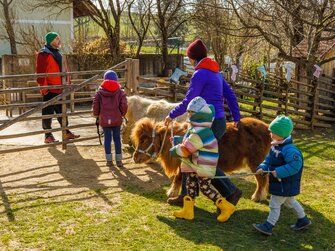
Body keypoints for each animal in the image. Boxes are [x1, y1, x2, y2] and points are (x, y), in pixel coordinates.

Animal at [131, 116, 272, 201]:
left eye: (143, 139)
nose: (135, 157)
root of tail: (267, 127)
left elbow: (179, 177)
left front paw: (173, 193)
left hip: (256, 162)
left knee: (261, 179)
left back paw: (257, 196)